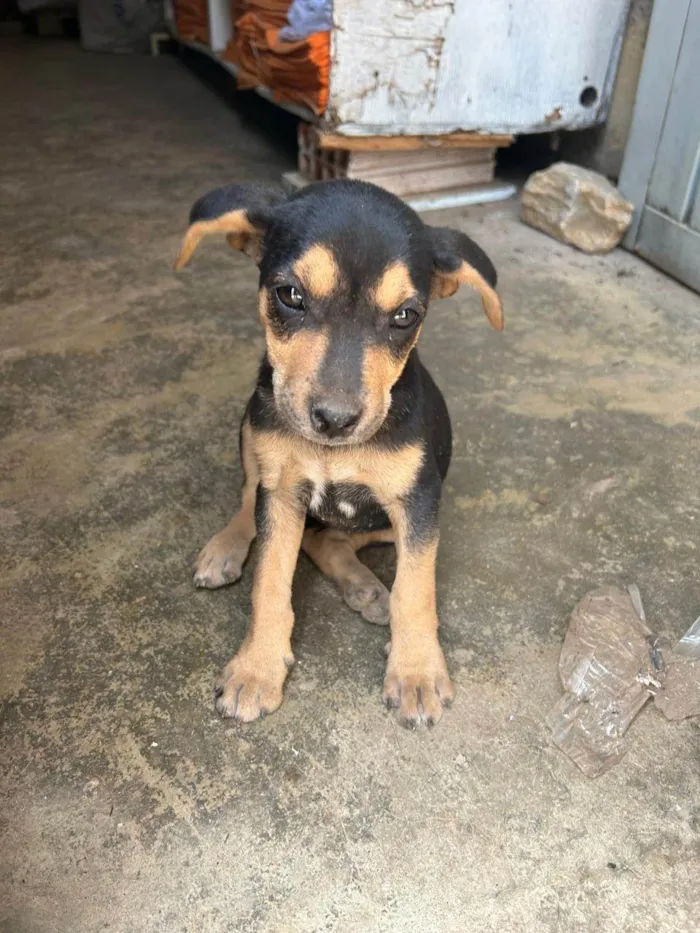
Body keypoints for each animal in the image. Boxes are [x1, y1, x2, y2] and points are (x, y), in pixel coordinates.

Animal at [176, 177, 504, 728]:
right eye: (290, 295)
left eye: (405, 316)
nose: (334, 420)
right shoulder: (281, 492)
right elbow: (270, 582)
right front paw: (256, 670)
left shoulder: (419, 501)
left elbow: (416, 589)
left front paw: (416, 674)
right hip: (252, 422)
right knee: (253, 500)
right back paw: (228, 547)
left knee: (329, 540)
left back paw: (366, 588)